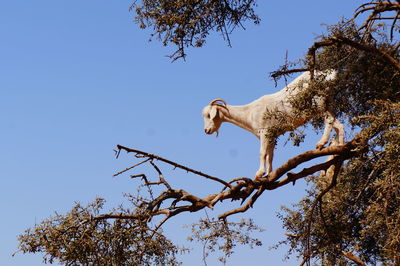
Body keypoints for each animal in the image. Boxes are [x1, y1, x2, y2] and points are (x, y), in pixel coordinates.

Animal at [202, 70, 346, 179]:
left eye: (209, 115)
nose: (206, 130)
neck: (249, 113)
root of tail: (332, 74)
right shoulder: (272, 135)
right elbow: (270, 155)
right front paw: (269, 174)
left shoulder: (265, 132)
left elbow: (262, 153)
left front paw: (259, 173)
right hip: (329, 102)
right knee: (338, 124)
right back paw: (340, 147)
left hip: (319, 102)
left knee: (328, 120)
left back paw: (321, 143)